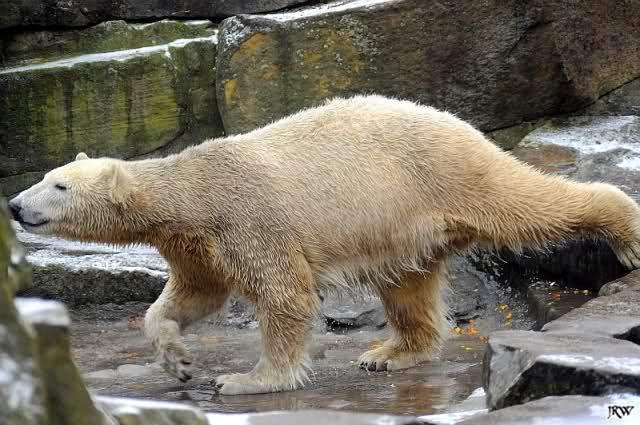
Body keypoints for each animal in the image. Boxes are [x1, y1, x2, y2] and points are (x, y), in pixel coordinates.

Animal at [9, 95, 640, 395]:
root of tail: (456, 122)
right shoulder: (196, 243)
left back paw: (625, 228)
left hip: (446, 173)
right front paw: (178, 360)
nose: (15, 204)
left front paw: (248, 380)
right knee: (407, 286)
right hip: (405, 222)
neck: (194, 189)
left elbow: (284, 294)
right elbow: (194, 295)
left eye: (58, 185)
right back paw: (387, 353)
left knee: (528, 205)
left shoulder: (248, 219)